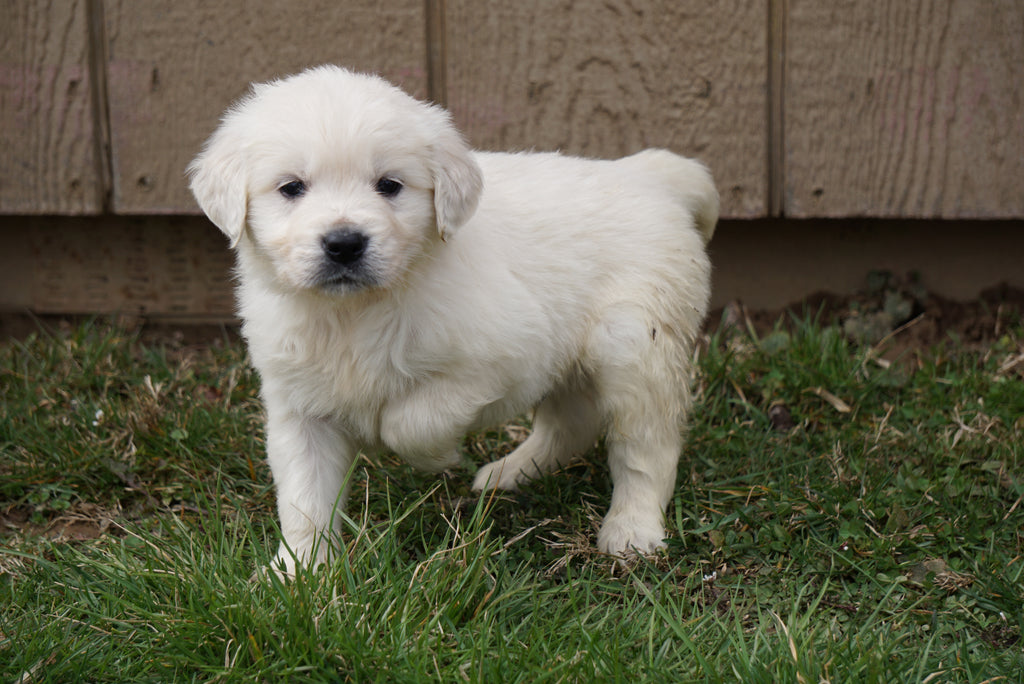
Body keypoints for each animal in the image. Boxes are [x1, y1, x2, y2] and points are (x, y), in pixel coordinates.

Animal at [188, 66, 716, 573]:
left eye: (389, 185)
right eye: (291, 187)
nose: (344, 243)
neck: (354, 312)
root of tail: (648, 174)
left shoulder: (504, 358)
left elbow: (409, 420)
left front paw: (434, 456)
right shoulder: (299, 406)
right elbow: (304, 497)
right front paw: (298, 572)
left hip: (633, 346)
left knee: (647, 448)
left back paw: (632, 531)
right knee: (572, 422)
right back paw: (510, 473)